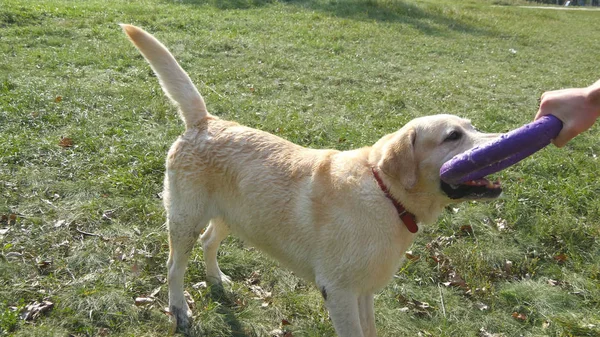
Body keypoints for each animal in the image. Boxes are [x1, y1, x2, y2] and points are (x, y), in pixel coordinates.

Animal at [120, 24, 502, 336]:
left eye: (472, 126)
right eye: (453, 136)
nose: (503, 138)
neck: (384, 192)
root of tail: (204, 121)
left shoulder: (364, 292)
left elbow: (370, 330)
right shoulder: (340, 292)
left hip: (236, 214)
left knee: (209, 241)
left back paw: (217, 279)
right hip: (185, 219)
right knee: (174, 266)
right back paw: (180, 310)